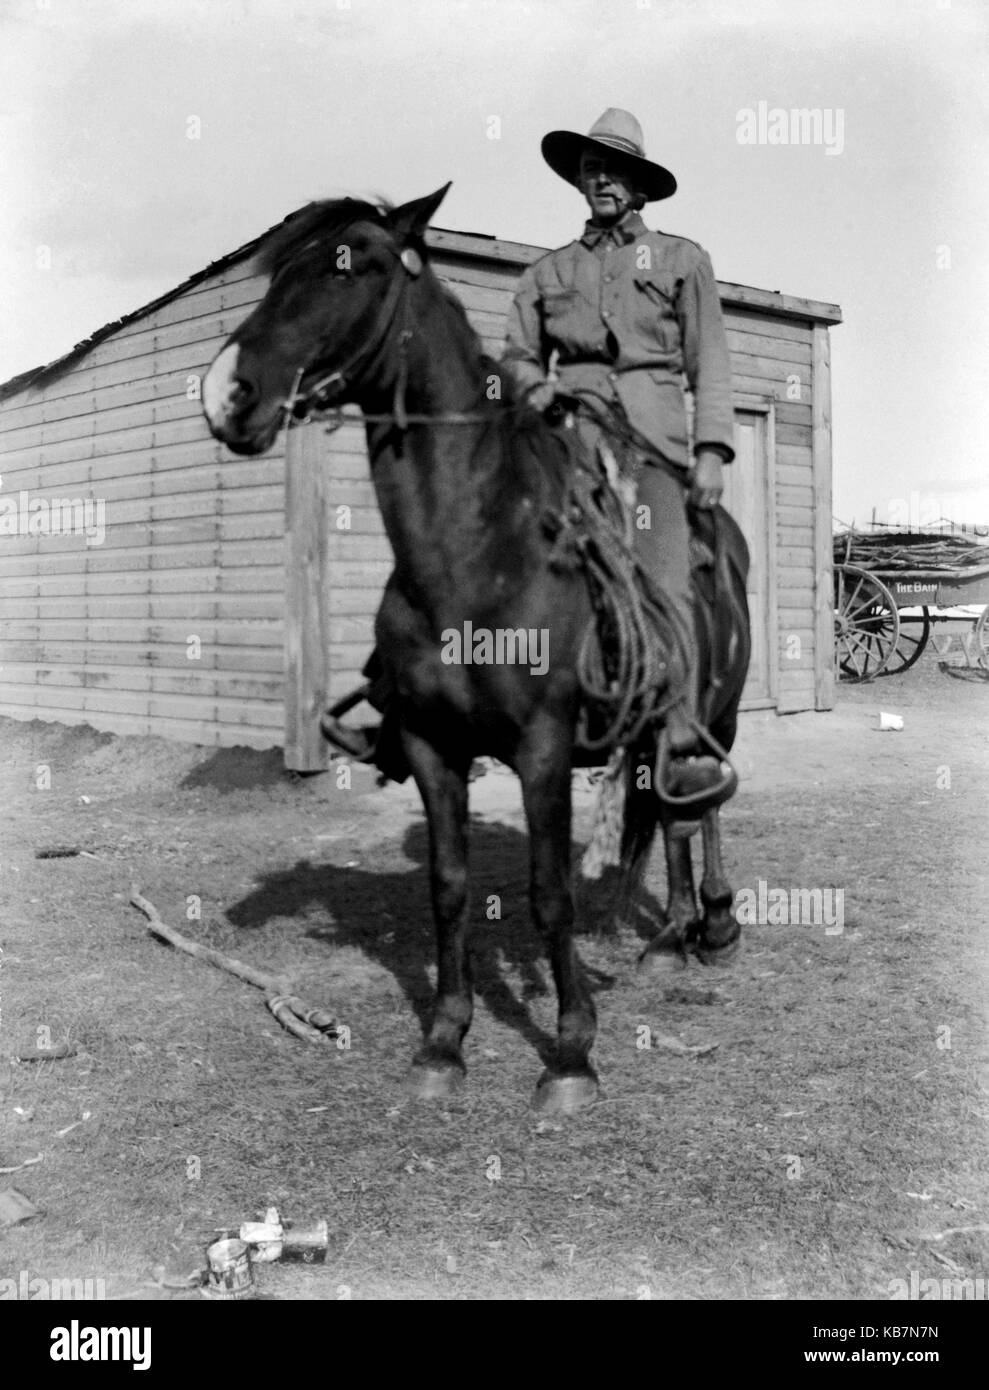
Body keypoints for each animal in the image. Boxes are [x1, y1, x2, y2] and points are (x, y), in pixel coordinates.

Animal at [202, 185, 751, 1114]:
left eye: (356, 265)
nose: (225, 394)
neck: (474, 554)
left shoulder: (542, 748)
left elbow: (548, 893)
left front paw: (569, 1054)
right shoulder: (432, 746)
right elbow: (449, 888)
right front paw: (443, 1041)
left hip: (720, 711)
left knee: (698, 804)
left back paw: (710, 922)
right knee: (663, 810)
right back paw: (667, 934)